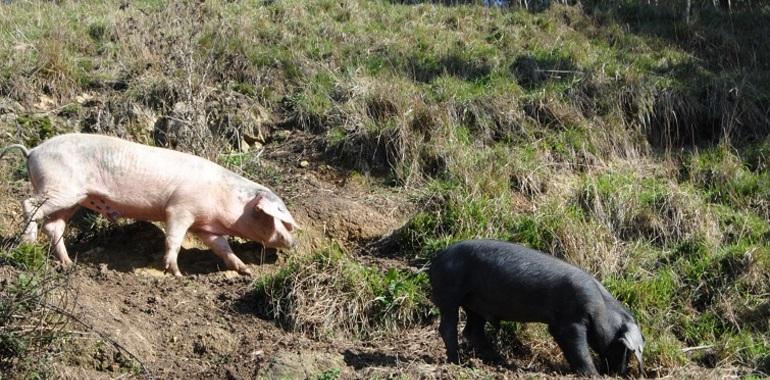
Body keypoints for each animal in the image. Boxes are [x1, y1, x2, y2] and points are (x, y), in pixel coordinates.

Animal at [0, 134, 298, 276]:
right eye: (280, 215)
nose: (294, 242)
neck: (222, 198)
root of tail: (33, 151)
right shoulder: (180, 208)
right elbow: (174, 237)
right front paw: (176, 273)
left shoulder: (206, 227)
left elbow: (223, 247)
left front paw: (245, 270)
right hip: (59, 188)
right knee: (29, 204)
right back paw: (28, 243)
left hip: (71, 198)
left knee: (54, 226)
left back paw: (69, 264)